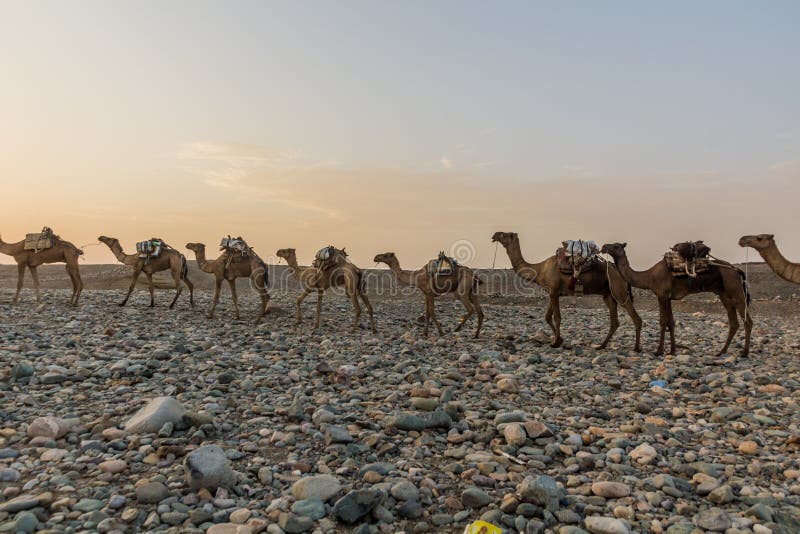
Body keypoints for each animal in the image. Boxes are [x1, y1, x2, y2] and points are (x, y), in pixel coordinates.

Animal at [488, 233, 644, 352]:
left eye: (505, 235)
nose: (494, 235)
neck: (539, 269)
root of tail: (615, 267)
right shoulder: (552, 292)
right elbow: (547, 317)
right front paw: (559, 339)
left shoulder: (553, 291)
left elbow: (557, 317)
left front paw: (556, 342)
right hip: (608, 294)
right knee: (614, 321)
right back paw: (601, 346)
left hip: (618, 289)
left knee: (635, 317)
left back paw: (636, 348)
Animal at [604, 245, 752, 358]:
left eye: (616, 246)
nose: (604, 246)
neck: (648, 277)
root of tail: (737, 270)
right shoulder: (667, 297)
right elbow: (671, 323)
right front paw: (672, 350)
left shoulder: (662, 295)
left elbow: (663, 322)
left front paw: (659, 351)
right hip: (724, 295)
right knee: (734, 323)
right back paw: (721, 352)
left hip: (736, 291)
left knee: (747, 321)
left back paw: (744, 353)